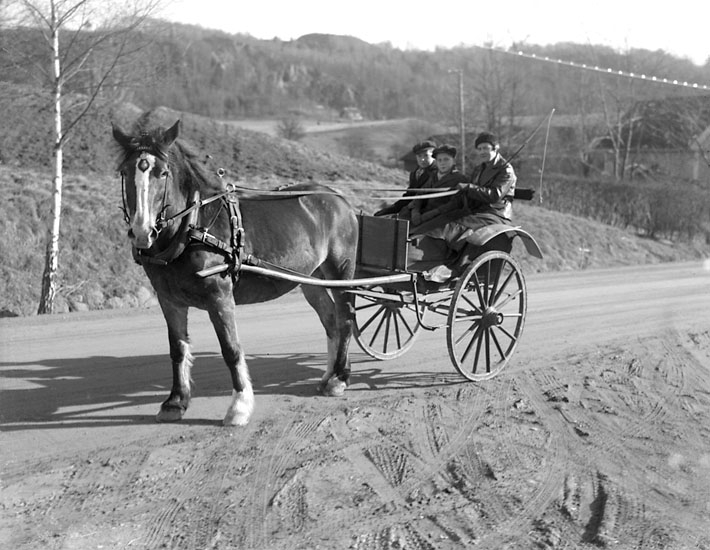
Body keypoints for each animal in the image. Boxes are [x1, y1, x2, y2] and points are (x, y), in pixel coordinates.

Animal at [112, 120, 358, 426]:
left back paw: (339, 378)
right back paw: (329, 375)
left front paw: (239, 405)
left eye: (163, 172)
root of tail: (339, 198)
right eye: (125, 172)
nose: (142, 232)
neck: (191, 227)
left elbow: (231, 349)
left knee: (346, 319)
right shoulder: (168, 300)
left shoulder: (219, 296)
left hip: (341, 271)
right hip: (311, 279)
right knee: (331, 321)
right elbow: (177, 348)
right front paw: (176, 401)